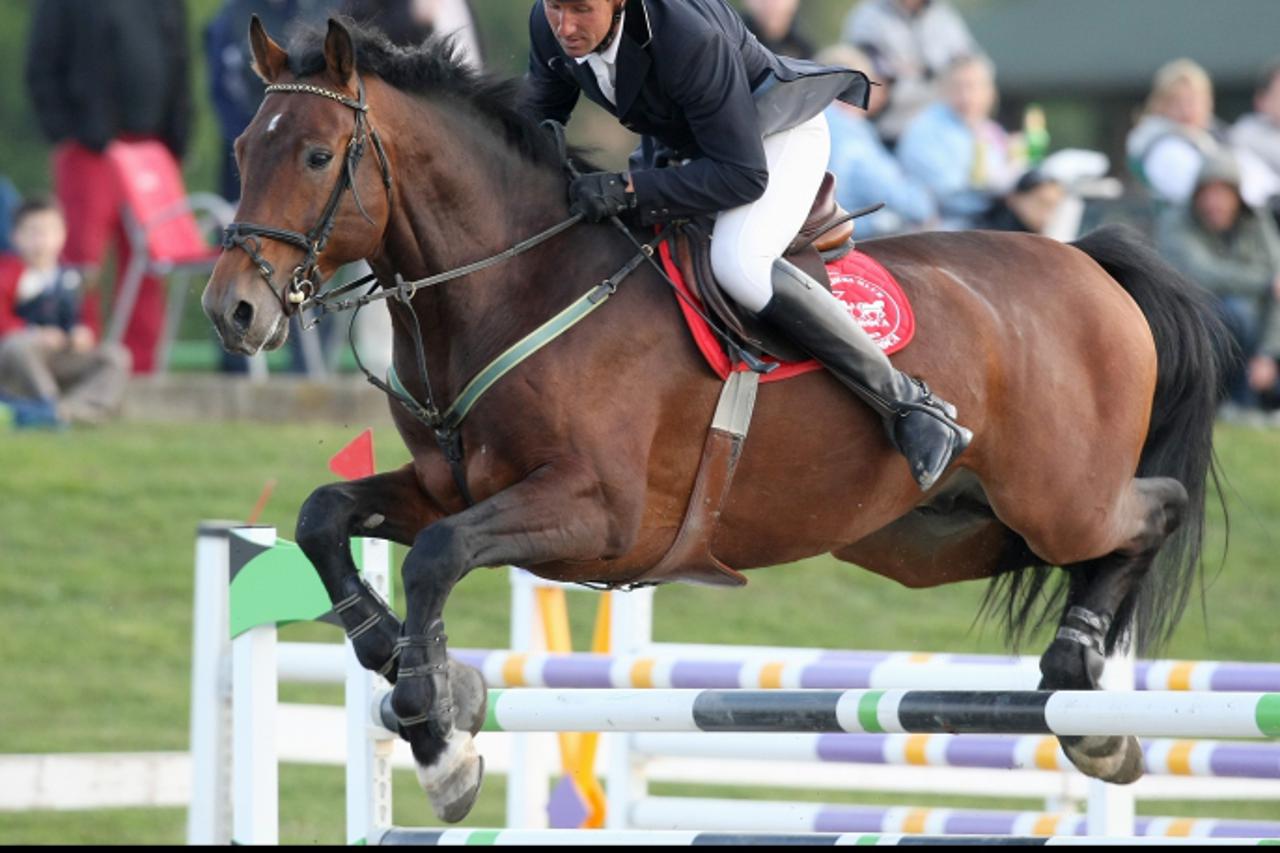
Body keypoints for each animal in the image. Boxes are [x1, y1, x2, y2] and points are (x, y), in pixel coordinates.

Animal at [204, 18, 1223, 819]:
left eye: (317, 155)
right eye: (243, 150)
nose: (232, 312)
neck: (514, 281)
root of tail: (1089, 261)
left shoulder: (599, 514)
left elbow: (437, 554)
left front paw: (439, 733)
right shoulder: (445, 483)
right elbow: (326, 516)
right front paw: (401, 660)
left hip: (1057, 497)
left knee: (1153, 510)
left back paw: (1085, 683)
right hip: (938, 535)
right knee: (1093, 544)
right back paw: (1083, 691)